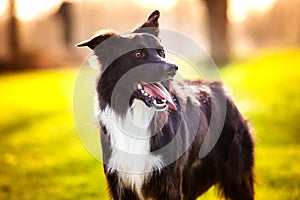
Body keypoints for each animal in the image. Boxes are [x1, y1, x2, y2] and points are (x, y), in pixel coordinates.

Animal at [77, 10, 253, 199]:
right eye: (138, 54)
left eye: (161, 52)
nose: (173, 68)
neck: (137, 117)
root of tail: (220, 89)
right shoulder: (120, 183)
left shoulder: (170, 184)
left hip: (237, 178)